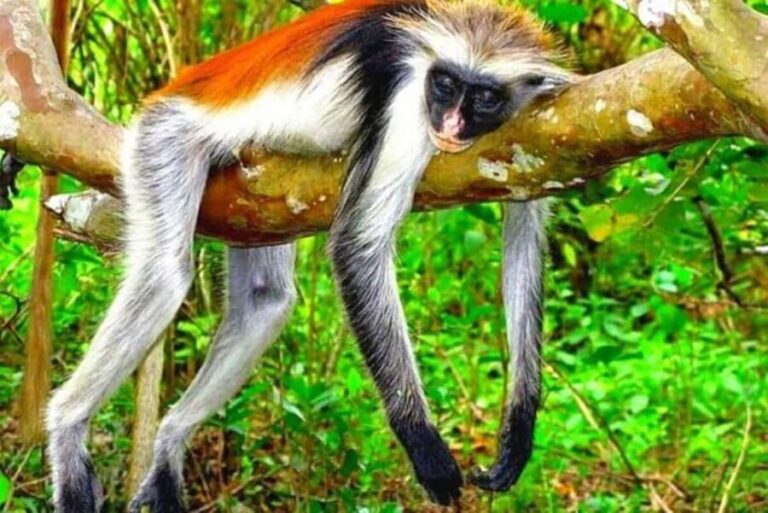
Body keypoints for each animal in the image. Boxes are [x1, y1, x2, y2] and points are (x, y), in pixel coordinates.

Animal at [44, 0, 573, 511]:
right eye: (444, 85)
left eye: (483, 97)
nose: (450, 123)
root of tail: (177, 87)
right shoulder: (408, 95)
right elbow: (357, 246)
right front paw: (422, 443)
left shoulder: (538, 125)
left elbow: (525, 230)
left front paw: (519, 427)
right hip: (164, 139)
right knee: (163, 279)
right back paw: (67, 426)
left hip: (256, 196)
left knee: (266, 301)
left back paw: (169, 441)